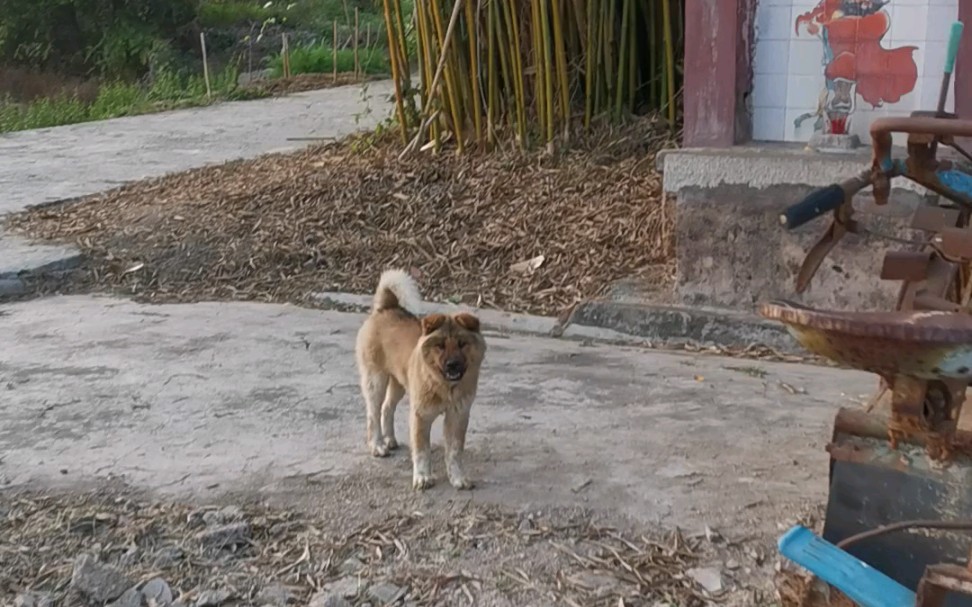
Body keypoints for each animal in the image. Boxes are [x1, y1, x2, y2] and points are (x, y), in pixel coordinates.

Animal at [354, 270, 486, 490]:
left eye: (462, 344)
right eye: (440, 346)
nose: (452, 365)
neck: (444, 386)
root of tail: (386, 308)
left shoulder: (458, 416)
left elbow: (454, 451)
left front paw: (458, 478)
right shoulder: (421, 415)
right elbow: (422, 450)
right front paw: (423, 477)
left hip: (399, 383)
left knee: (387, 408)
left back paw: (390, 439)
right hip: (376, 379)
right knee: (373, 414)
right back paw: (378, 446)